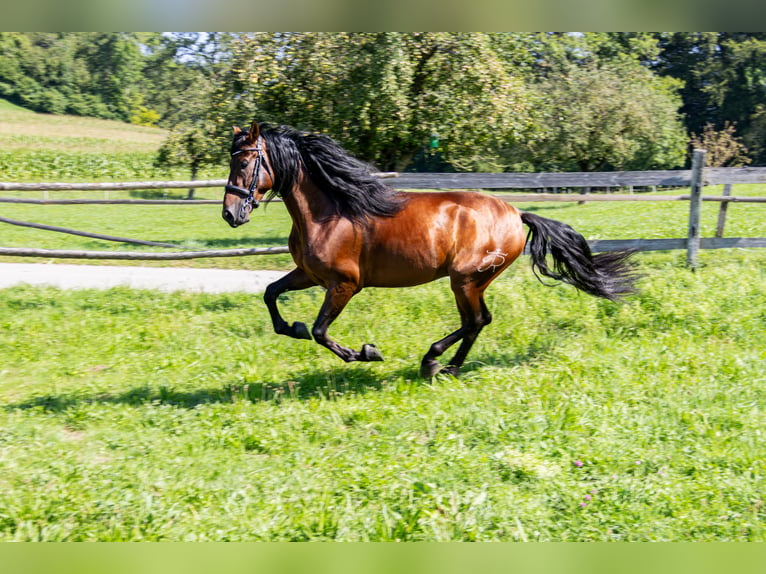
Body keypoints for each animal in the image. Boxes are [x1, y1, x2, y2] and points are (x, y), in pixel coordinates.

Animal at [224, 121, 640, 380]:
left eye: (244, 160)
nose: (230, 213)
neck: (332, 211)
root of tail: (515, 213)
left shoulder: (344, 284)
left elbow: (321, 331)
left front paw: (367, 353)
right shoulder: (309, 275)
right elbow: (271, 294)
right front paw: (290, 327)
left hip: (466, 279)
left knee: (475, 321)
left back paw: (434, 362)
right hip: (471, 282)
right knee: (479, 321)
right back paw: (445, 365)